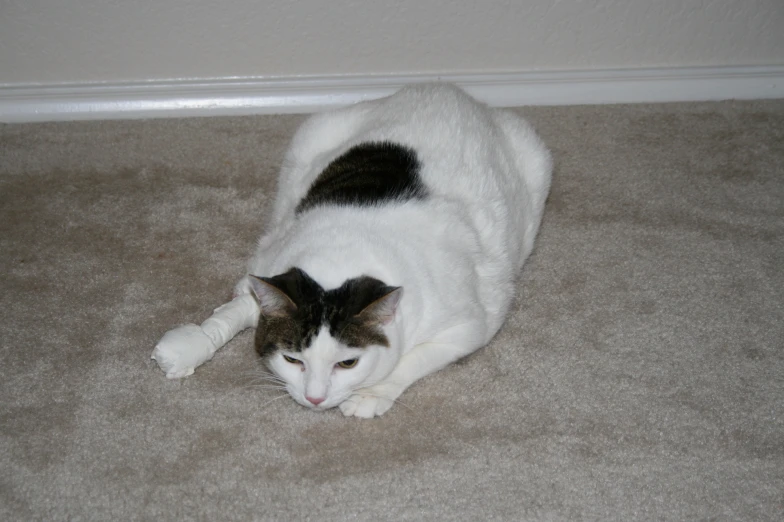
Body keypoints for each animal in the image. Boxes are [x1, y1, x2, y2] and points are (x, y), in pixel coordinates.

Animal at [152, 84, 552, 418]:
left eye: (347, 364)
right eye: (293, 359)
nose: (314, 398)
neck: (340, 259)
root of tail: (446, 89)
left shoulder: (469, 326)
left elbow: (413, 359)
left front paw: (371, 394)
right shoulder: (268, 263)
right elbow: (232, 312)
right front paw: (193, 344)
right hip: (310, 137)